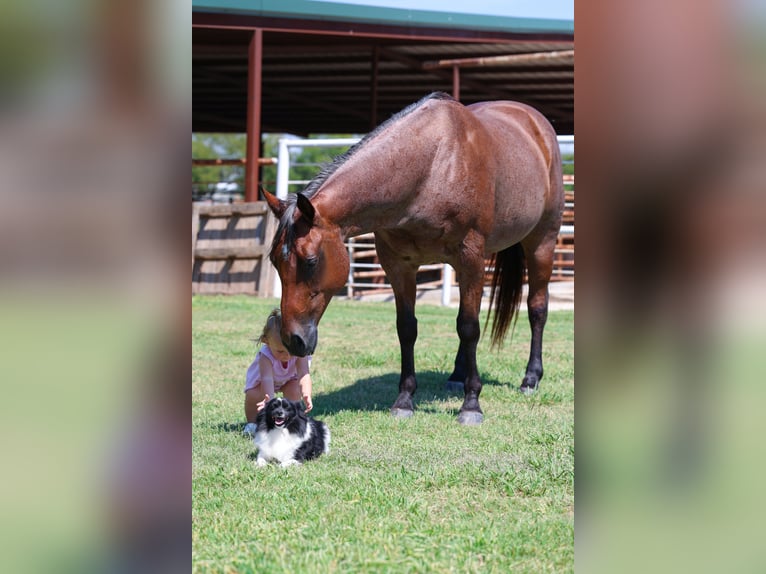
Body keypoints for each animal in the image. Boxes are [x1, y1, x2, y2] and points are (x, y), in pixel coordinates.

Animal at [263, 92, 563, 425]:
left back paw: (530, 379)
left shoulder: (470, 259)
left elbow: (469, 327)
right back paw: (457, 375)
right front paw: (405, 400)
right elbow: (407, 328)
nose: (292, 340)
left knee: (536, 309)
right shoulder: (399, 265)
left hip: (541, 243)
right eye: (274, 261)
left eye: (311, 261)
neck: (431, 167)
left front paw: (471, 405)